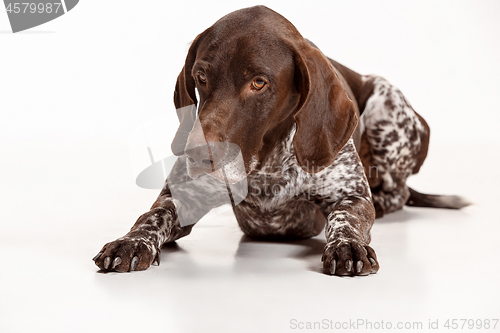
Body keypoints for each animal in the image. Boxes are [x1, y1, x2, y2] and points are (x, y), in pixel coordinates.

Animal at [93, 5, 468, 274]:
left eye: (259, 83)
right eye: (201, 76)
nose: (197, 154)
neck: (265, 165)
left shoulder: (351, 195)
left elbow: (345, 219)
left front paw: (347, 244)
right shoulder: (179, 199)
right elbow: (151, 217)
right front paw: (130, 241)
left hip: (387, 105)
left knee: (399, 191)